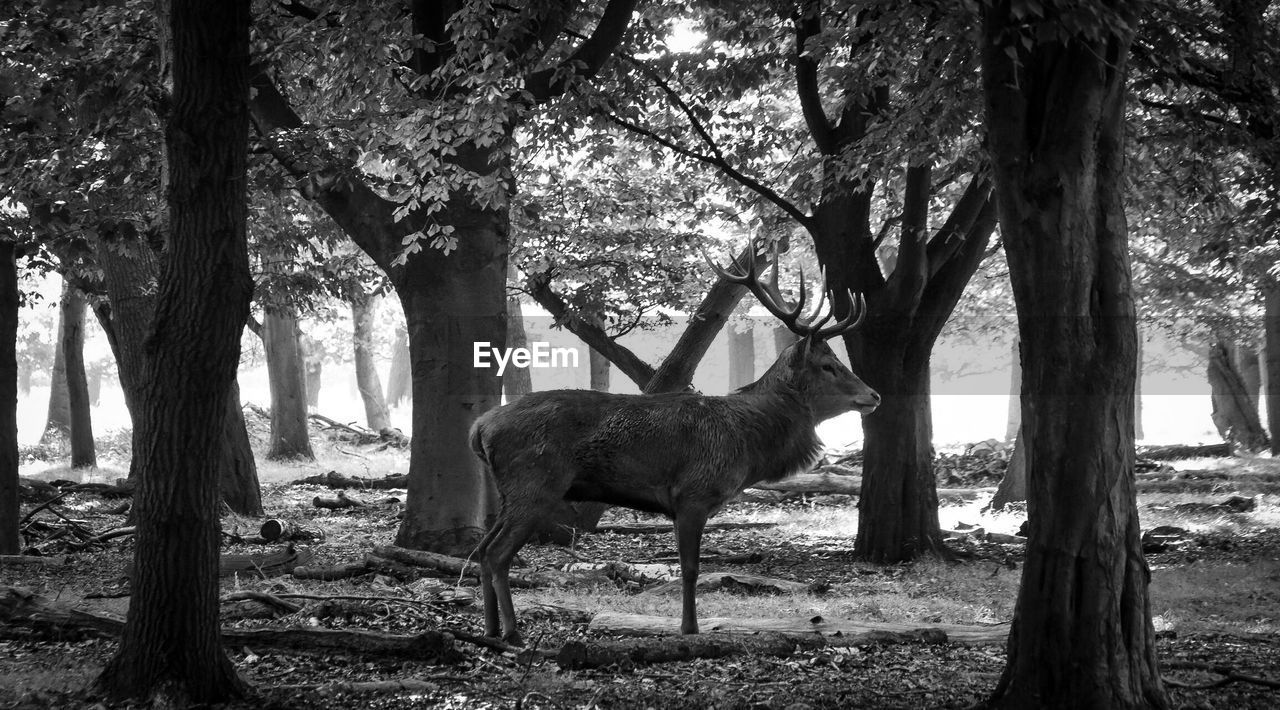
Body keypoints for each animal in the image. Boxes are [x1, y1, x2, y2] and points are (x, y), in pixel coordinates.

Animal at [471, 249, 880, 644]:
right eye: (828, 365)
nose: (873, 395)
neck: (748, 442)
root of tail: (480, 427)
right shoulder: (693, 494)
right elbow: (690, 568)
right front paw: (689, 628)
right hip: (535, 484)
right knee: (497, 553)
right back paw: (511, 631)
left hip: (511, 491)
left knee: (482, 550)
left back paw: (490, 629)